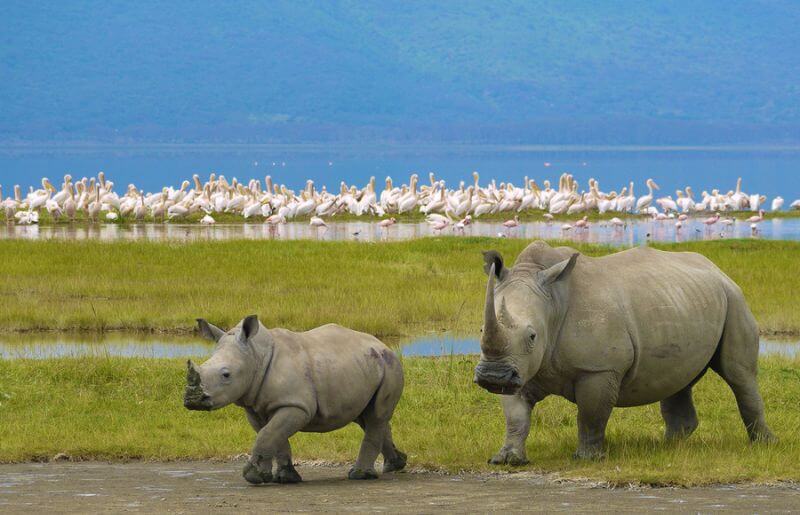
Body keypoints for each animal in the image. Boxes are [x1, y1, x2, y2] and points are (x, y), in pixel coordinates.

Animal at [184, 315, 406, 484]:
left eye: (226, 375)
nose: (191, 400)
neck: (255, 356)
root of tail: (383, 345)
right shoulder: (257, 407)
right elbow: (274, 436)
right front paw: (283, 478)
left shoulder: (296, 405)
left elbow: (267, 434)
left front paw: (253, 477)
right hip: (366, 366)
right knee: (367, 417)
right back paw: (395, 464)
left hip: (390, 366)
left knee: (376, 416)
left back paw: (359, 475)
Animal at [474, 241, 775, 463]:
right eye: (480, 330)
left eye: (532, 336)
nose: (492, 377)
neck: (552, 303)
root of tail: (717, 269)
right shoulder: (519, 367)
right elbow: (516, 415)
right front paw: (507, 460)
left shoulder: (599, 368)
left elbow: (591, 415)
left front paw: (587, 458)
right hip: (683, 301)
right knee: (680, 377)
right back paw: (668, 446)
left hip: (734, 299)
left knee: (739, 375)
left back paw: (764, 444)